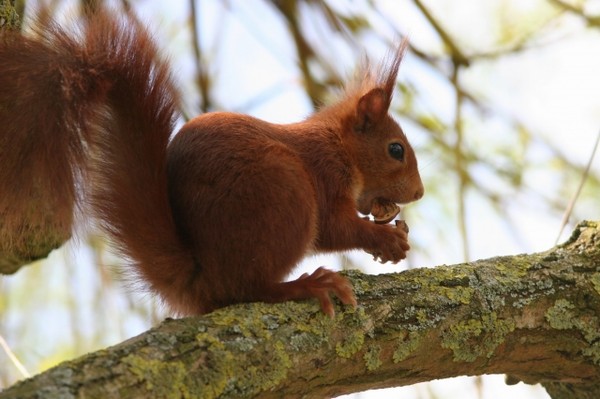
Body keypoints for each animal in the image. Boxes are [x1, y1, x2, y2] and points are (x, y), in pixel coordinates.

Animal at [1, 6, 422, 318]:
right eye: (396, 150)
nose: (418, 193)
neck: (339, 146)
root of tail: (200, 279)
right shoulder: (325, 173)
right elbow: (335, 228)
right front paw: (385, 238)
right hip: (285, 193)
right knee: (247, 288)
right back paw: (306, 285)